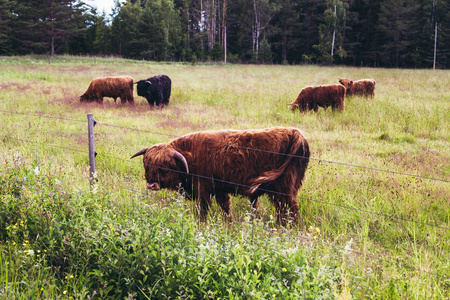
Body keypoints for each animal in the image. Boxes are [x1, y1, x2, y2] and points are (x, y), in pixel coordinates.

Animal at [130, 126, 310, 225]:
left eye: (164, 167)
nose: (151, 184)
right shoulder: (221, 190)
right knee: (283, 209)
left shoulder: (204, 189)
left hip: (283, 189)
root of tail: (296, 134)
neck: (189, 154)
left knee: (290, 208)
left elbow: (203, 209)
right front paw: (228, 223)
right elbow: (225, 208)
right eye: (146, 164)